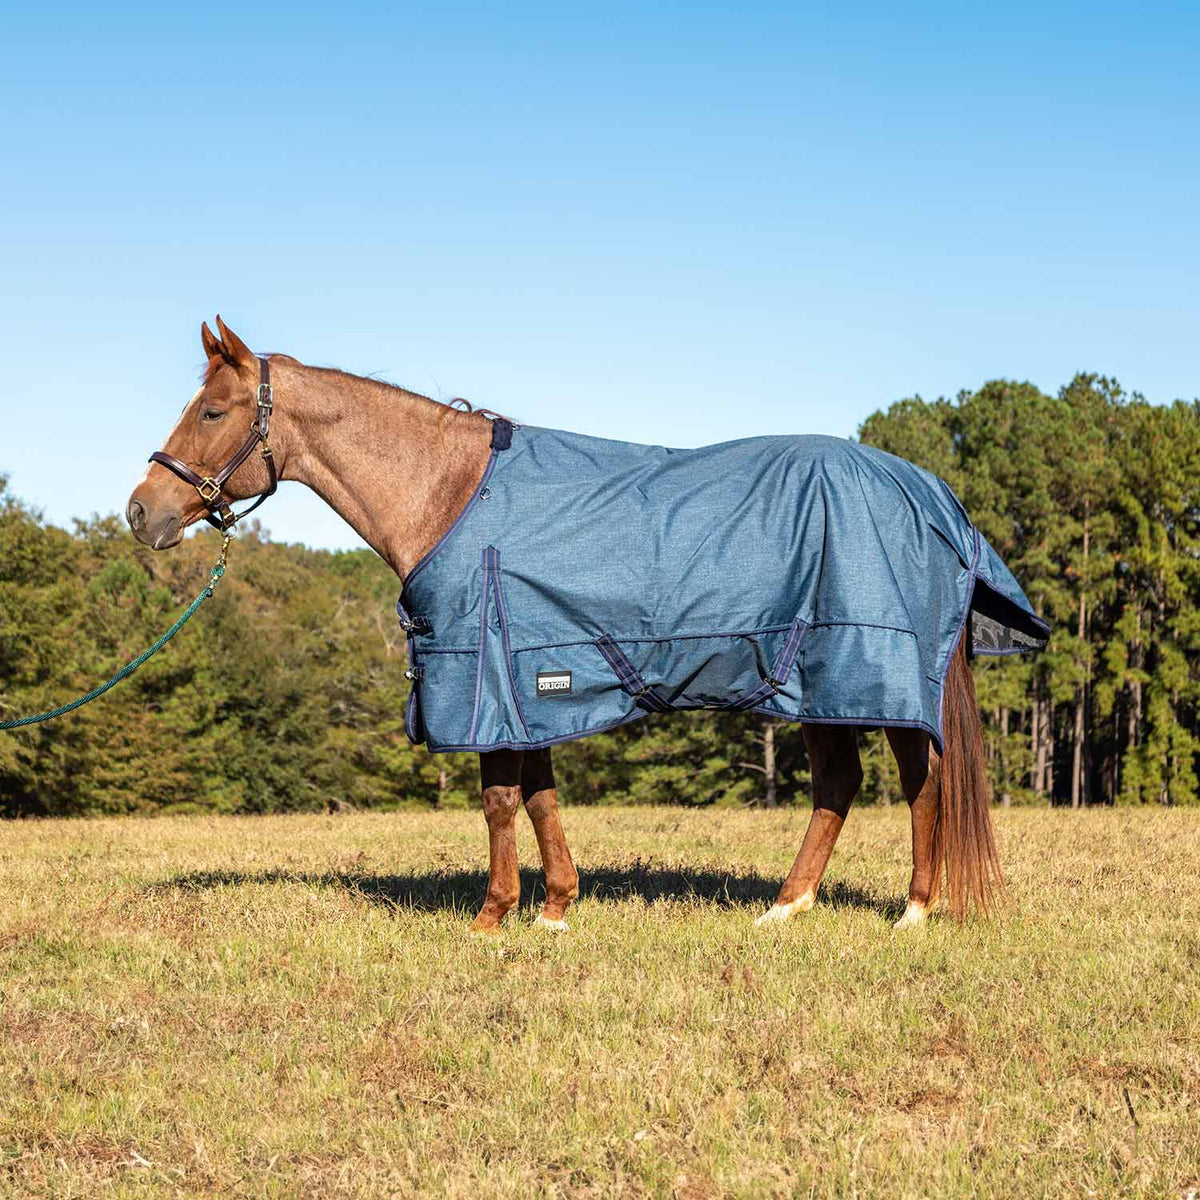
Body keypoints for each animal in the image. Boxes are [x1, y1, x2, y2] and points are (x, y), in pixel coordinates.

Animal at [127, 317, 1046, 932]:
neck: (448, 492)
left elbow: (501, 801)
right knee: (841, 784)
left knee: (918, 779)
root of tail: (931, 491)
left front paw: (493, 918)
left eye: (212, 412)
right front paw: (557, 908)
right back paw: (788, 909)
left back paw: (911, 913)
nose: (142, 512)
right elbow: (538, 796)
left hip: (867, 669)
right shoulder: (529, 677)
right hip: (813, 678)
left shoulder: (488, 673)